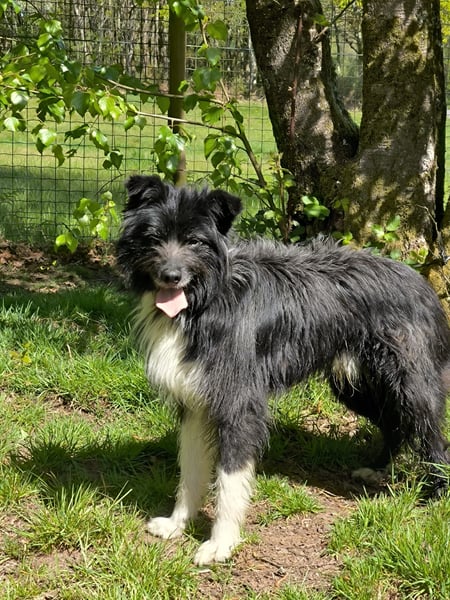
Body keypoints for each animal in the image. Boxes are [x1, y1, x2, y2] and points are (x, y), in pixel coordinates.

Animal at [116, 174, 450, 565]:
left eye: (195, 241)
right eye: (153, 236)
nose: (171, 276)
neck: (206, 302)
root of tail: (421, 281)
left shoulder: (239, 406)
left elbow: (229, 479)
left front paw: (221, 543)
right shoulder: (194, 403)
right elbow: (191, 469)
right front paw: (177, 524)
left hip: (411, 385)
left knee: (432, 437)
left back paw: (435, 496)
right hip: (357, 385)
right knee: (394, 424)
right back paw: (378, 468)